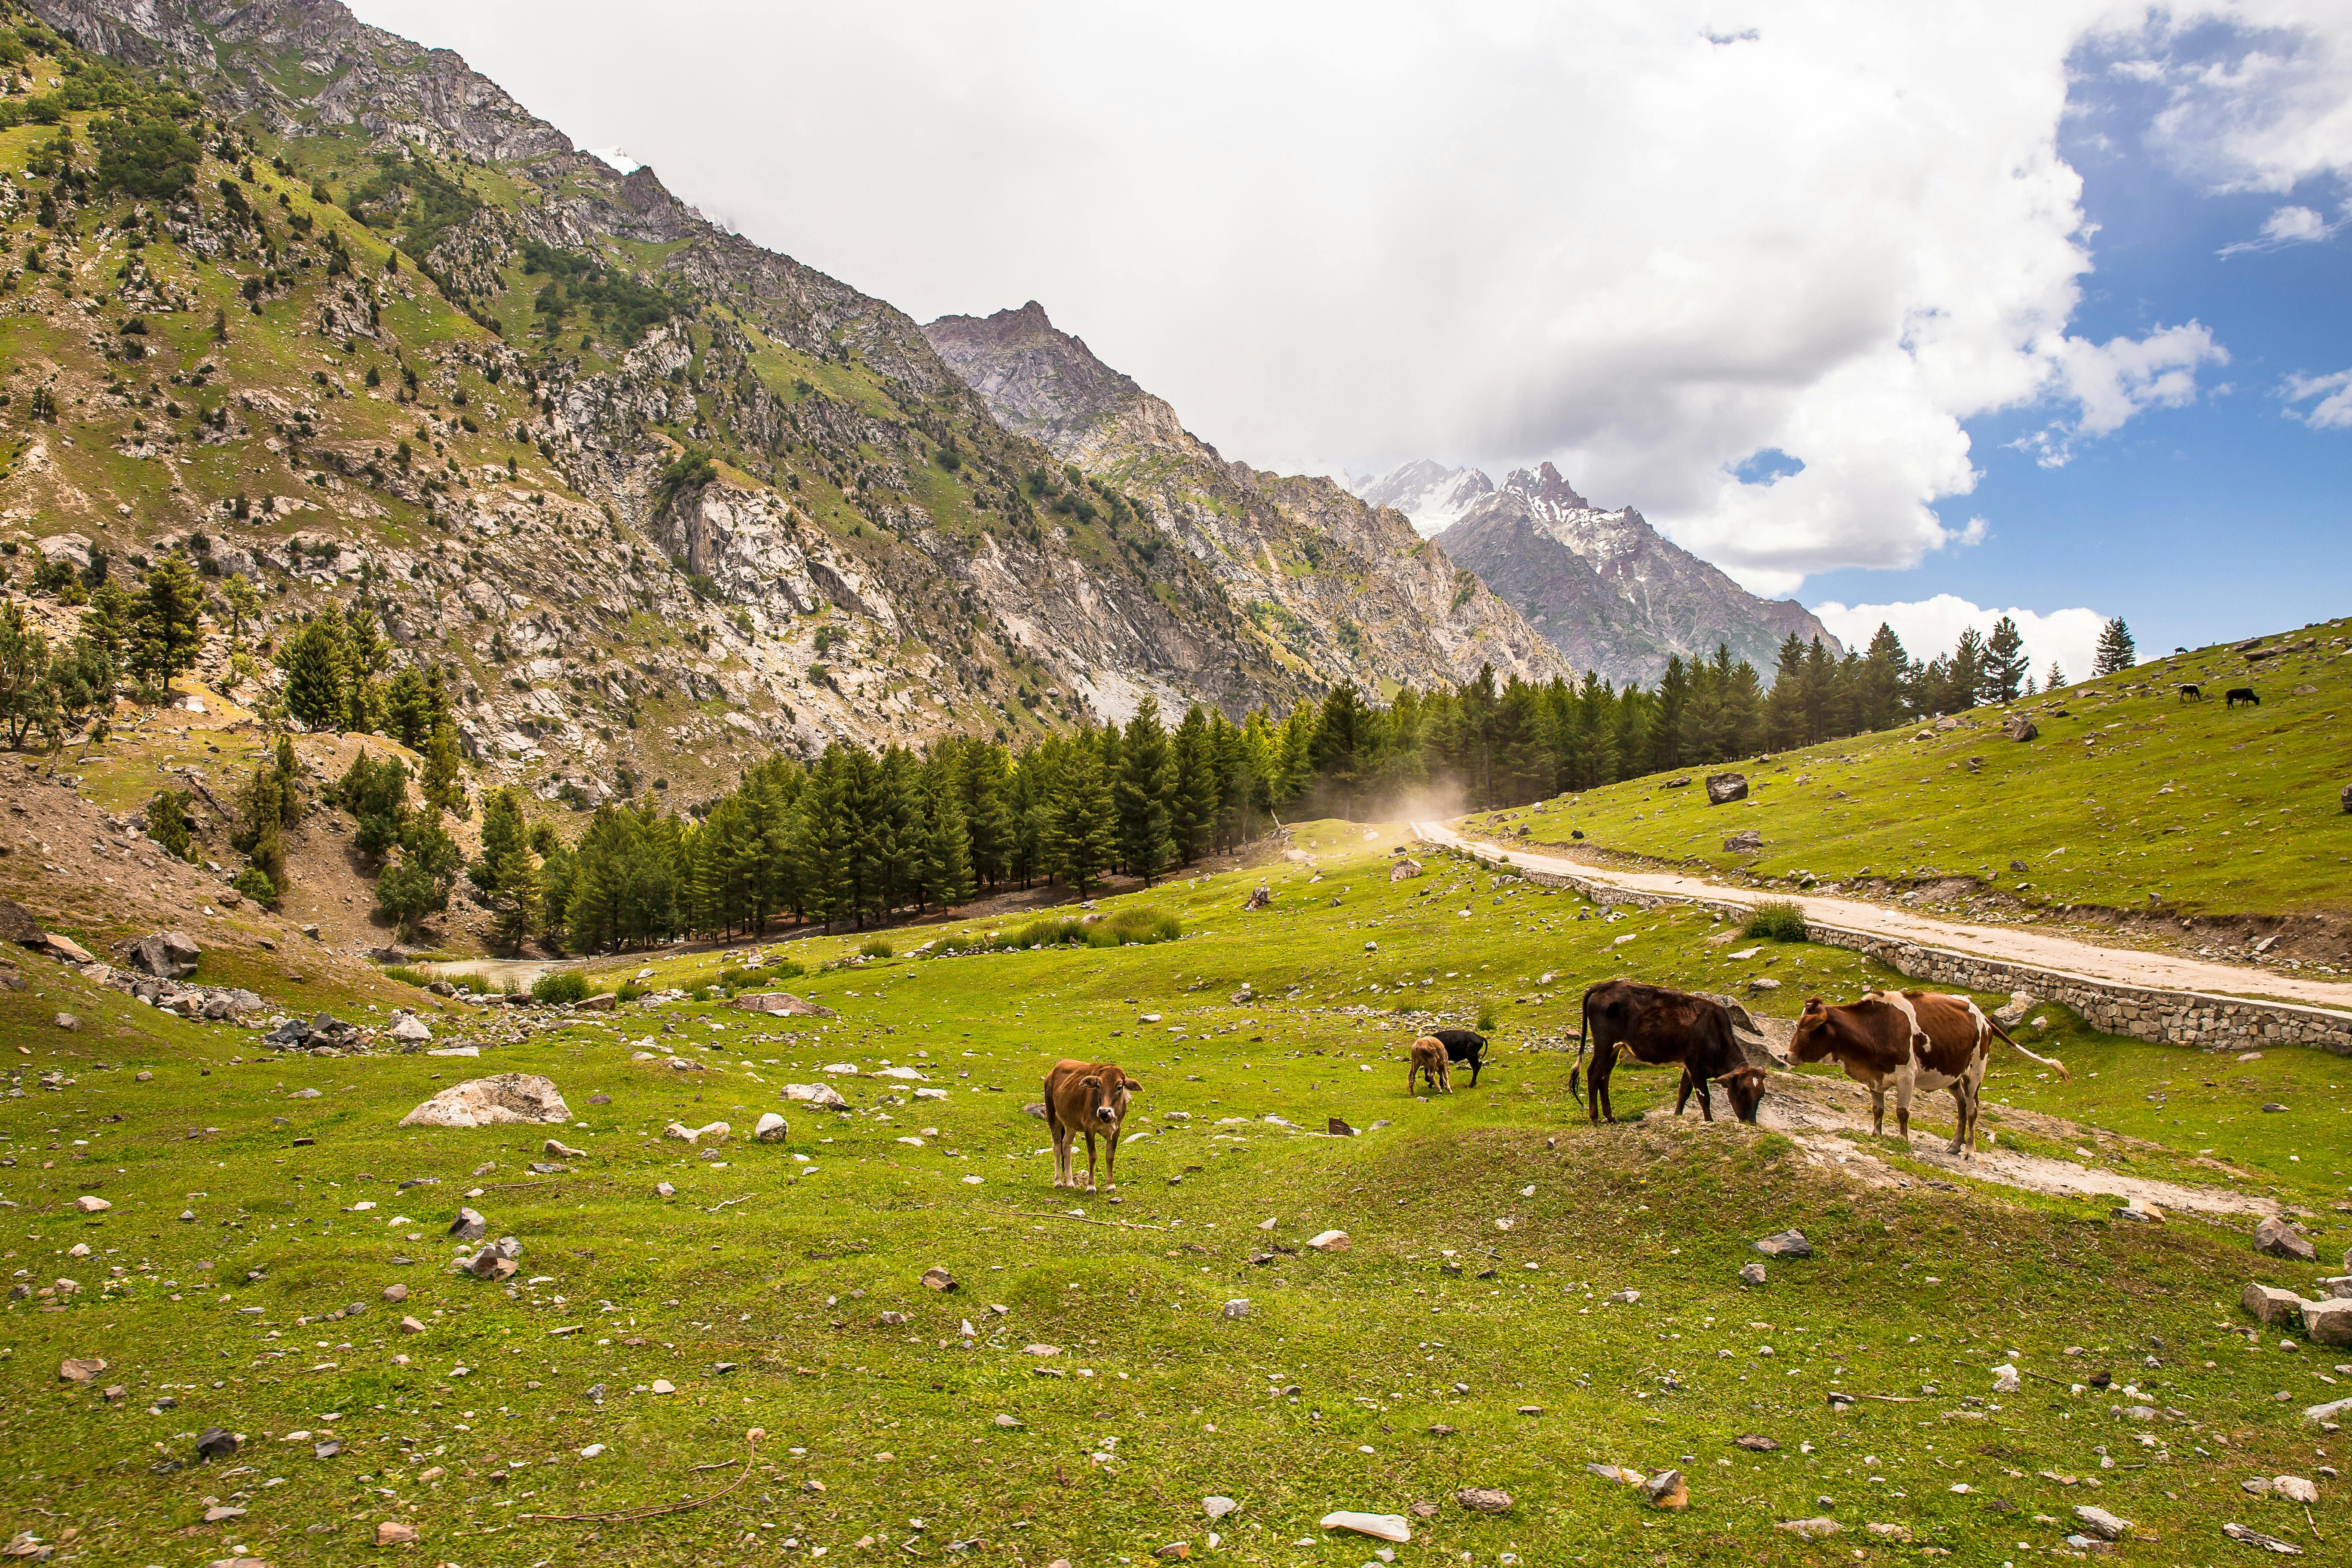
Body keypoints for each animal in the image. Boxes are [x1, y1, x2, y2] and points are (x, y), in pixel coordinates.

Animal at [1044, 1063, 1143, 1194]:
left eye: (1119, 1087)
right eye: (1099, 1086)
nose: (1104, 1112)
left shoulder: (1117, 1129)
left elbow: (1110, 1156)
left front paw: (1110, 1185)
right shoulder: (1089, 1128)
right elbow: (1092, 1156)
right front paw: (1091, 1186)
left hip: (1071, 1124)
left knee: (1066, 1146)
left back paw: (1069, 1182)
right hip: (1052, 1115)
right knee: (1057, 1146)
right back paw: (1058, 1182)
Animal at [1402, 1034, 1439, 1100]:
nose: (1426, 1080)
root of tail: (1415, 1048)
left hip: (1416, 1063)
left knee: (1411, 1075)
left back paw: (1412, 1092)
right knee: (1430, 1074)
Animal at [1411, 1025, 1486, 1086]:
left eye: (1426, 1068)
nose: (1426, 1079)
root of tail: (1480, 1037)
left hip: (1471, 1057)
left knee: (1476, 1068)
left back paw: (1471, 1085)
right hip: (1474, 1057)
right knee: (1479, 1065)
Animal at [1571, 983, 1768, 1128]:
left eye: (1762, 1094)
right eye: (1742, 1091)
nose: (1751, 1122)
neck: (1715, 1034)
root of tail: (1602, 987)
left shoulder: (1689, 1066)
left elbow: (1683, 1092)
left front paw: (1677, 1115)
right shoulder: (1696, 1065)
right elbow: (1704, 1097)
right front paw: (1709, 1121)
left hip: (1615, 1047)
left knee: (1605, 1076)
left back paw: (1611, 1117)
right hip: (1604, 1043)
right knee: (1594, 1073)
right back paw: (1596, 1118)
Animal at [1787, 987, 2070, 1161]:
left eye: (1803, 1027)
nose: (1787, 1056)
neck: (1874, 1027)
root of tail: (1984, 1017)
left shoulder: (1907, 1075)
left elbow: (1902, 1112)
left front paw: (1903, 1141)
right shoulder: (1875, 1077)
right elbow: (1878, 1110)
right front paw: (1876, 1135)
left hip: (1976, 1071)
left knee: (1973, 1110)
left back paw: (1969, 1150)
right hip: (1953, 1075)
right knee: (1962, 1108)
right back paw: (1954, 1145)